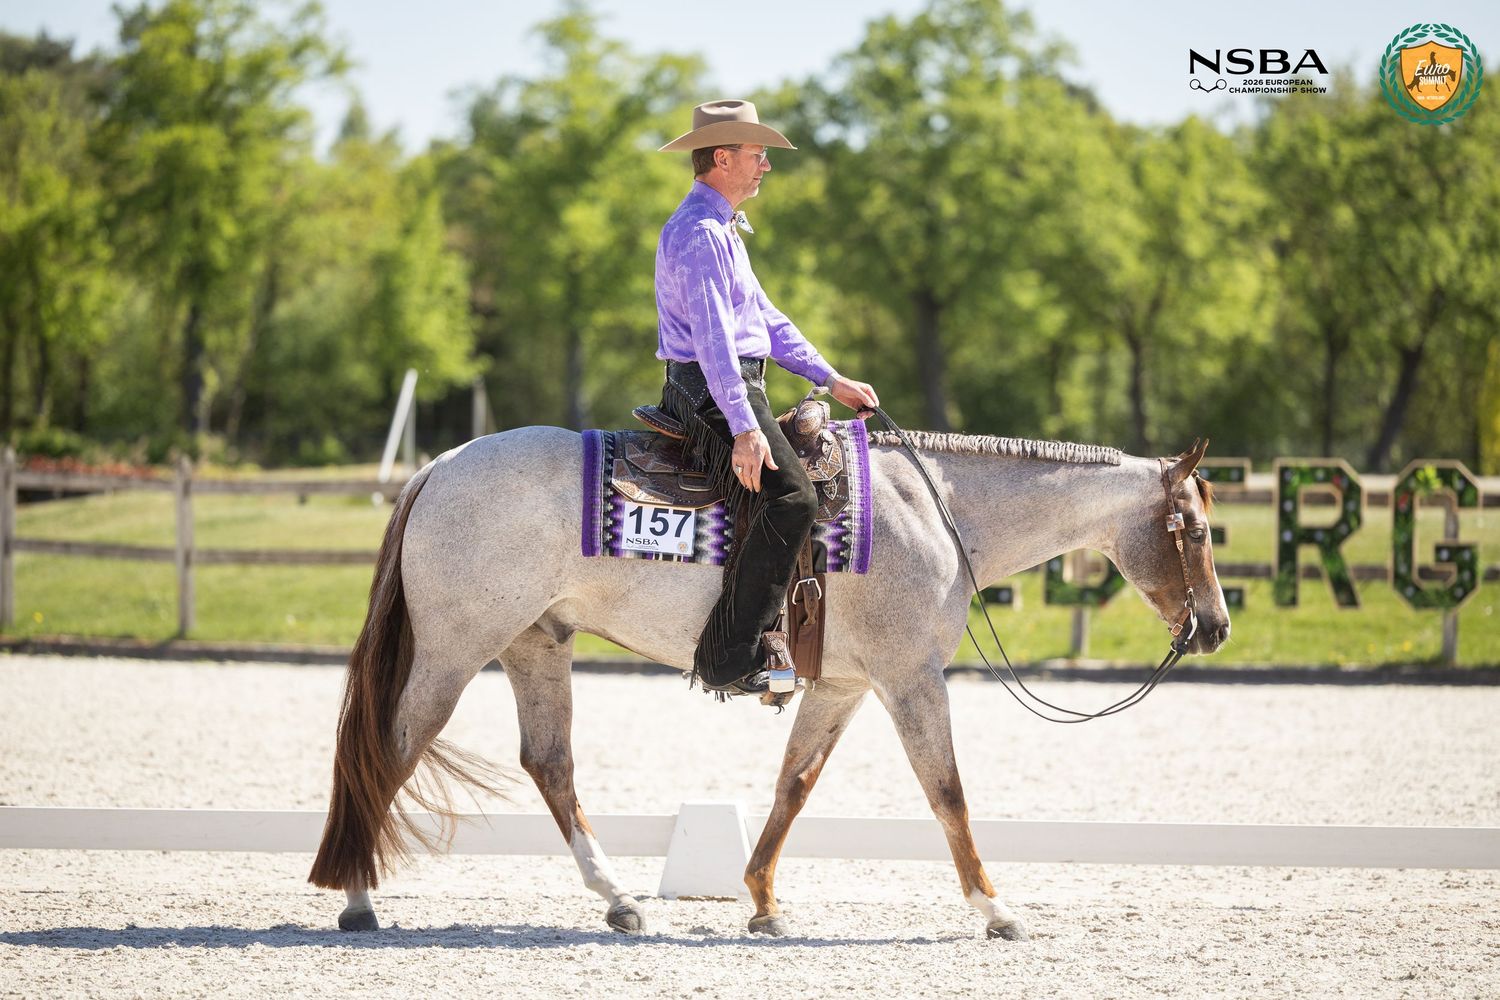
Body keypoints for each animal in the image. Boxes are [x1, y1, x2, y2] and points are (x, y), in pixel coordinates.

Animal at [307, 425, 1230, 940]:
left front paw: (761, 901)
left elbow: (795, 784)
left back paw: (619, 900)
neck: (936, 511)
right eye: (1192, 529)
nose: (1216, 627)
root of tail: (440, 465)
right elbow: (946, 790)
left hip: (537, 643)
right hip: (456, 650)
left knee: (550, 764)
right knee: (388, 751)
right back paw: (357, 898)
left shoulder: (842, 686)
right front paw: (994, 909)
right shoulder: (910, 678)